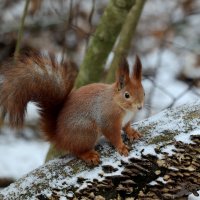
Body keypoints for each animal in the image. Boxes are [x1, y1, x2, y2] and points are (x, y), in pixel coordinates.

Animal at [0, 52, 144, 165]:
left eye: (143, 92)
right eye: (127, 95)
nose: (140, 107)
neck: (119, 105)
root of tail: (59, 137)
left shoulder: (126, 120)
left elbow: (126, 127)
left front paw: (132, 133)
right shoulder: (108, 119)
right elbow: (113, 135)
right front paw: (121, 147)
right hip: (87, 131)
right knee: (77, 151)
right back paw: (88, 155)